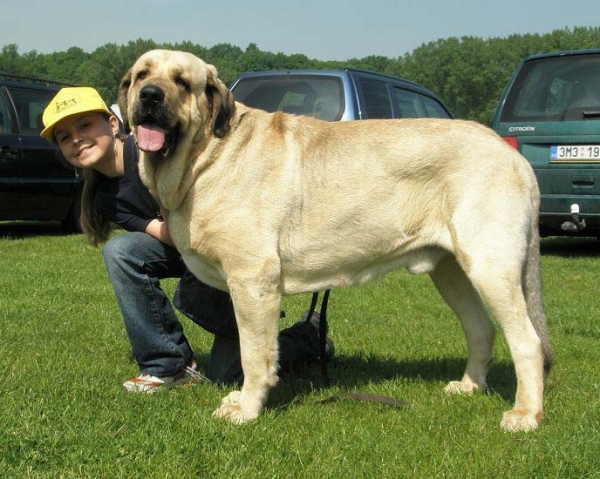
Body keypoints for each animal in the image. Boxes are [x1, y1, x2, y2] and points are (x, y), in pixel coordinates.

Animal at [118, 50, 552, 434]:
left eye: (181, 81)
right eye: (142, 75)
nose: (150, 97)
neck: (208, 153)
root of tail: (513, 156)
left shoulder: (253, 281)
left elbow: (254, 353)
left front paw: (246, 408)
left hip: (490, 267)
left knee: (526, 341)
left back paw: (526, 415)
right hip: (451, 271)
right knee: (481, 329)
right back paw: (468, 386)